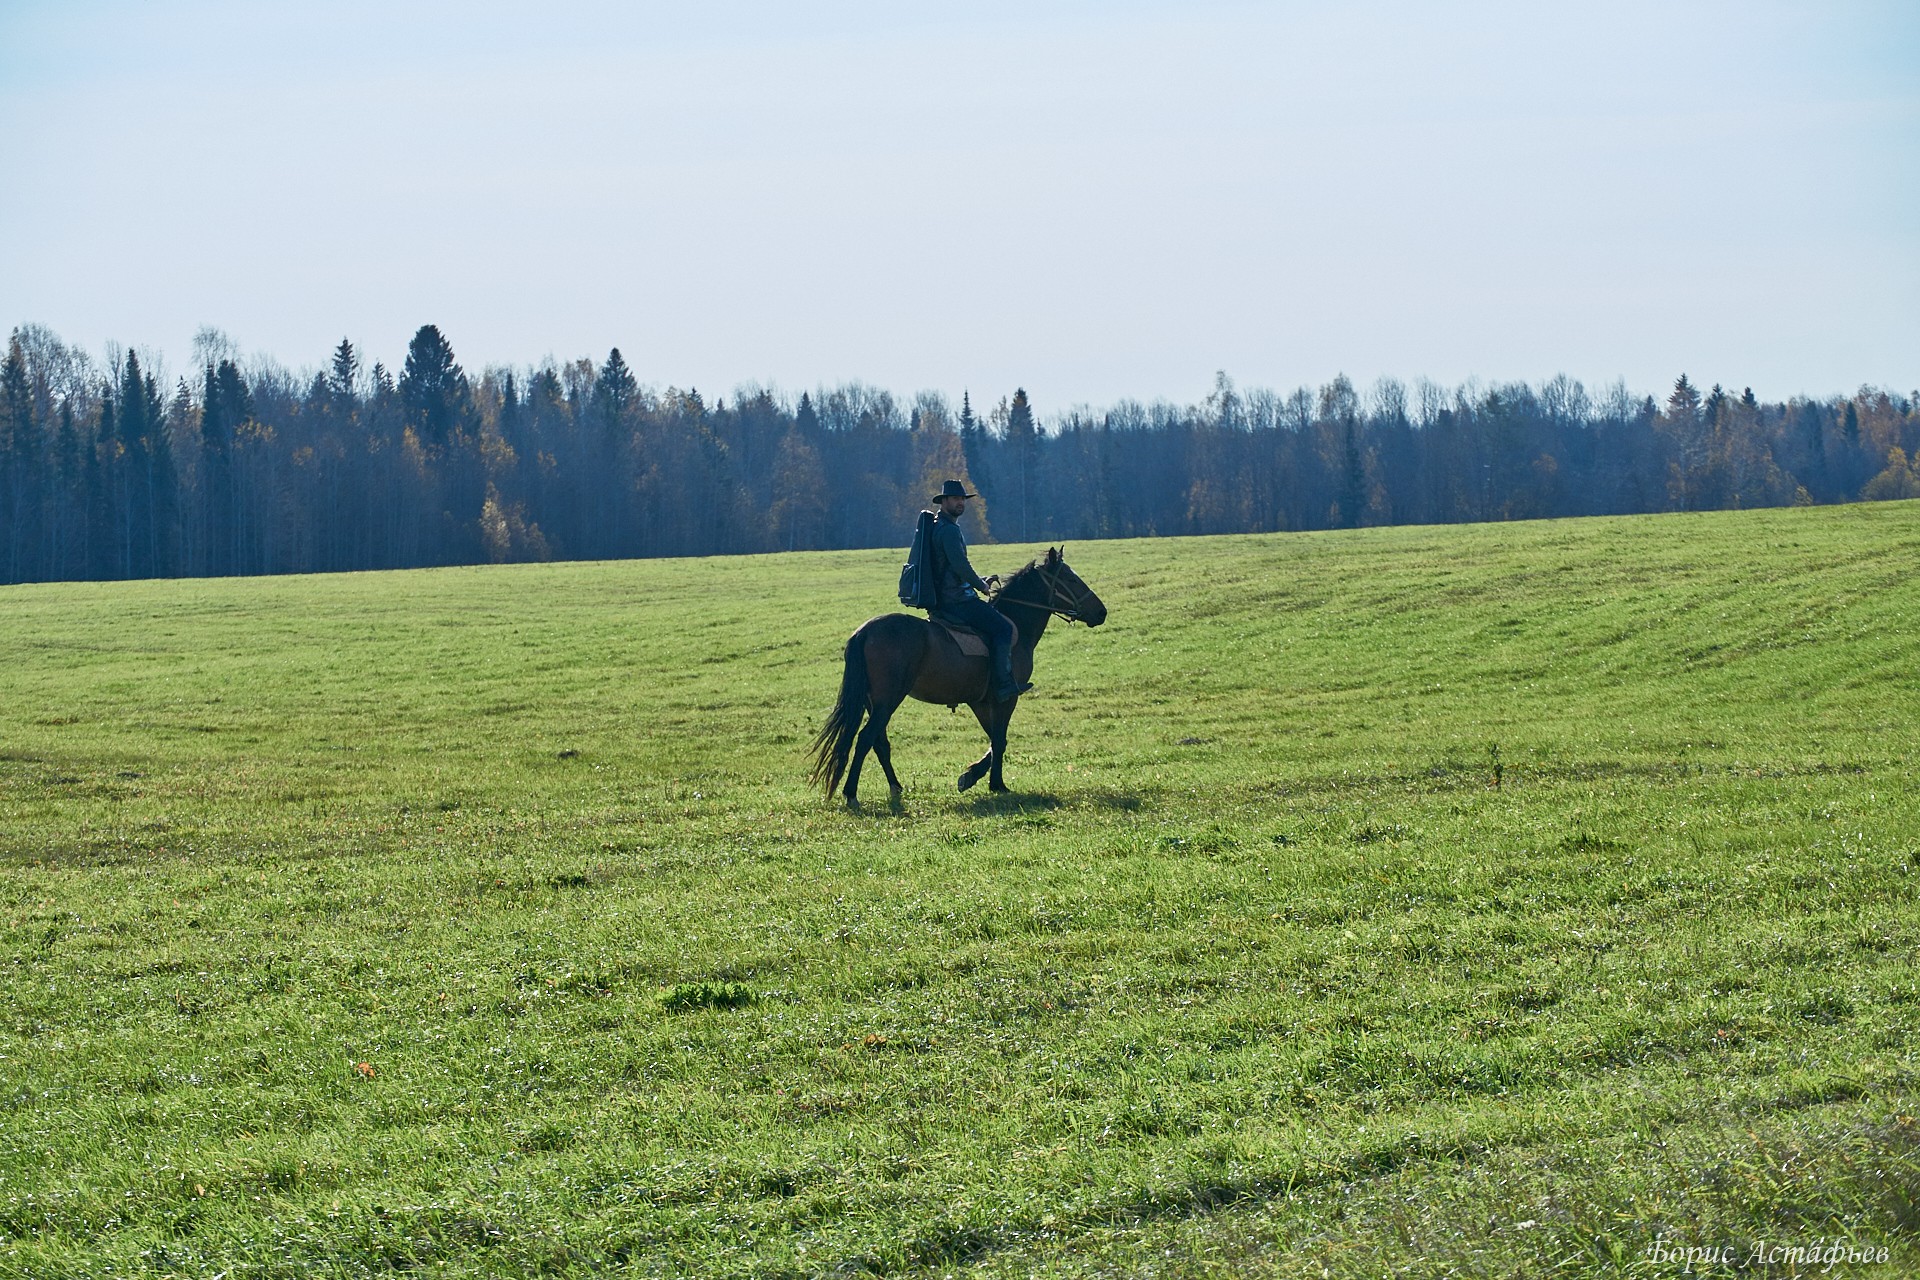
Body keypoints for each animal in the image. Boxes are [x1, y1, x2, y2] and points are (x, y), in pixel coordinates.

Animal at [810, 545, 1113, 805]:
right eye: (1071, 579)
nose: (1101, 612)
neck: (1016, 625)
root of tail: (864, 632)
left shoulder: (980, 701)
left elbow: (994, 740)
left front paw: (971, 776)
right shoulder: (1006, 698)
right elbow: (1000, 740)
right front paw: (996, 784)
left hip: (875, 702)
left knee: (879, 743)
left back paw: (895, 787)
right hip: (888, 700)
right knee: (865, 739)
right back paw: (851, 793)